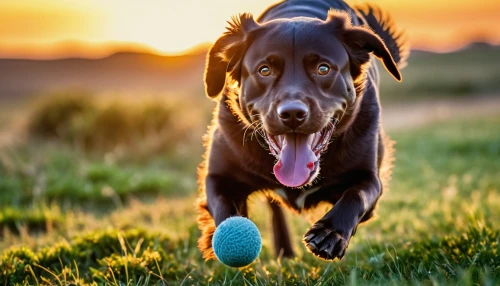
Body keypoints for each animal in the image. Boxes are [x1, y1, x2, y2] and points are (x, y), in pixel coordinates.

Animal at [197, 0, 408, 260]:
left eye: (323, 68)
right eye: (264, 70)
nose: (292, 113)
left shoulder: (369, 177)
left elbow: (357, 194)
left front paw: (330, 233)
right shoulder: (218, 177)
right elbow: (224, 209)